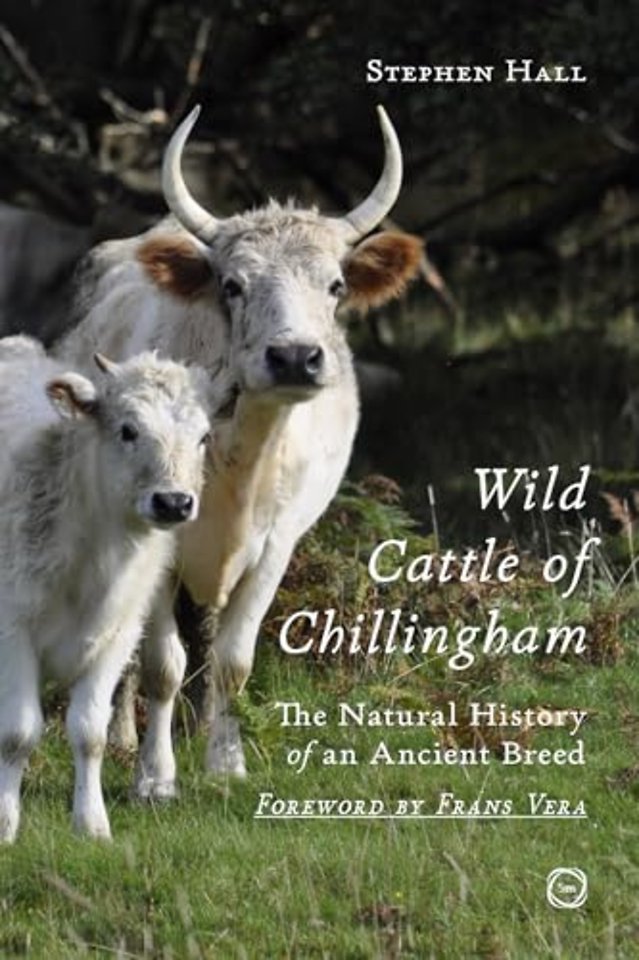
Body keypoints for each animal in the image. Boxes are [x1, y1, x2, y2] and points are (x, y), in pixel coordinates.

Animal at [0, 342, 217, 841]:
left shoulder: (116, 636)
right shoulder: (12, 629)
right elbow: (18, 732)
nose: (173, 502)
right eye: (128, 430)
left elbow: (90, 732)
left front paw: (91, 822)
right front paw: (5, 821)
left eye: (203, 437)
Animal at [53, 105, 423, 795]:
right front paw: (154, 776)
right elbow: (162, 664)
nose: (296, 357)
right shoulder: (161, 540)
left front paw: (225, 763)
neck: (241, 454)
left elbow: (230, 659)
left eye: (335, 285)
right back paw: (121, 737)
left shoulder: (277, 544)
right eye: (232, 285)